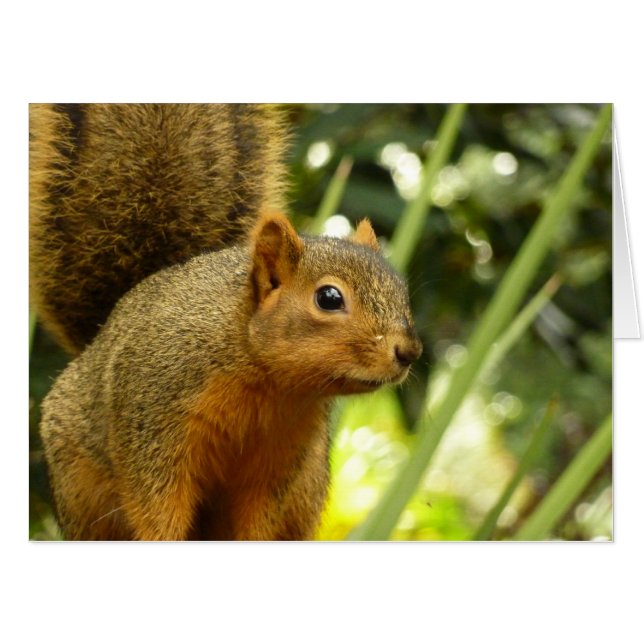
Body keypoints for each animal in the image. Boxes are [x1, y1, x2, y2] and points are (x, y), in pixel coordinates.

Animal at [30, 103, 422, 541]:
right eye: (329, 298)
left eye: (400, 289)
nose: (409, 352)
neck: (265, 380)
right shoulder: (153, 421)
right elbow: (156, 506)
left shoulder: (279, 461)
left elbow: (258, 519)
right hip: (80, 486)